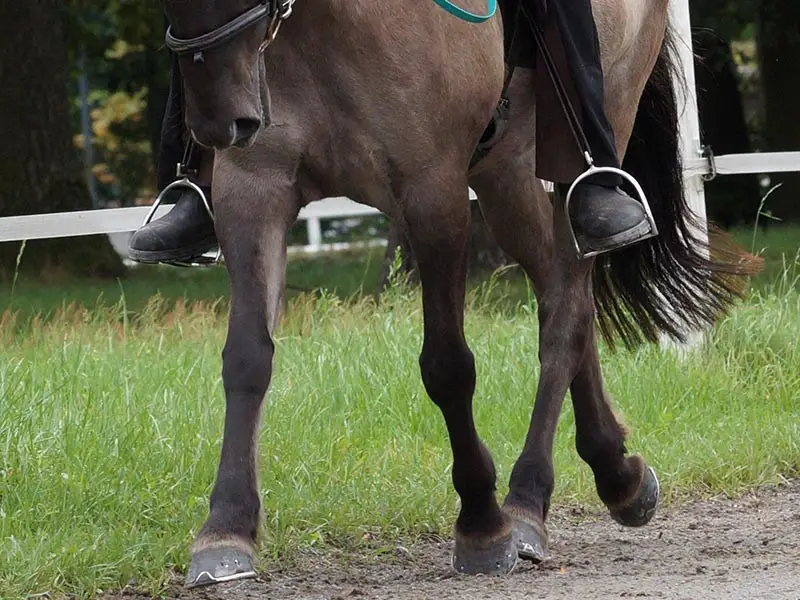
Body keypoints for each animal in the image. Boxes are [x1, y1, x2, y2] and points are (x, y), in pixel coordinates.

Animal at [159, 0, 760, 584]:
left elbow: (447, 367)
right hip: (505, 175)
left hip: (576, 143)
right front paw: (226, 529)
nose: (223, 120)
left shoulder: (435, 194)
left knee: (566, 313)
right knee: (562, 294)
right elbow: (247, 360)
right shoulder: (251, 189)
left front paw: (482, 523)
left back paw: (526, 504)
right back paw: (616, 474)